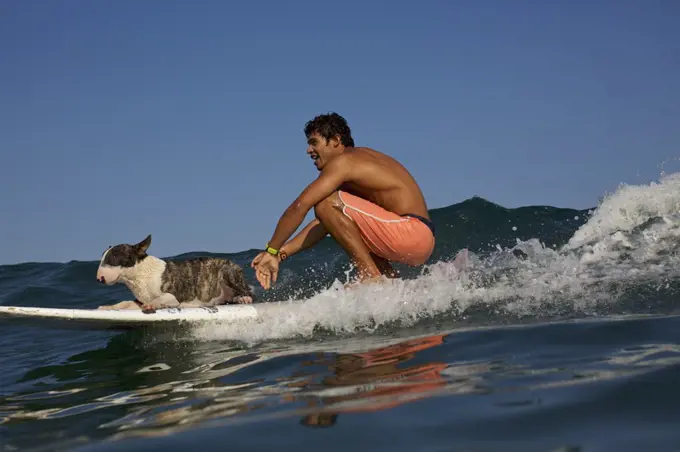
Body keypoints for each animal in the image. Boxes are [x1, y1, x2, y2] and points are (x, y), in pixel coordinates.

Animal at [95, 235, 255, 312]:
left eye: (114, 256)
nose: (99, 279)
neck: (140, 275)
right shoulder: (139, 299)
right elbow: (125, 303)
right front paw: (106, 308)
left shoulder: (172, 297)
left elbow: (159, 298)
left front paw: (150, 306)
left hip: (228, 272)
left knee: (249, 292)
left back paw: (244, 298)